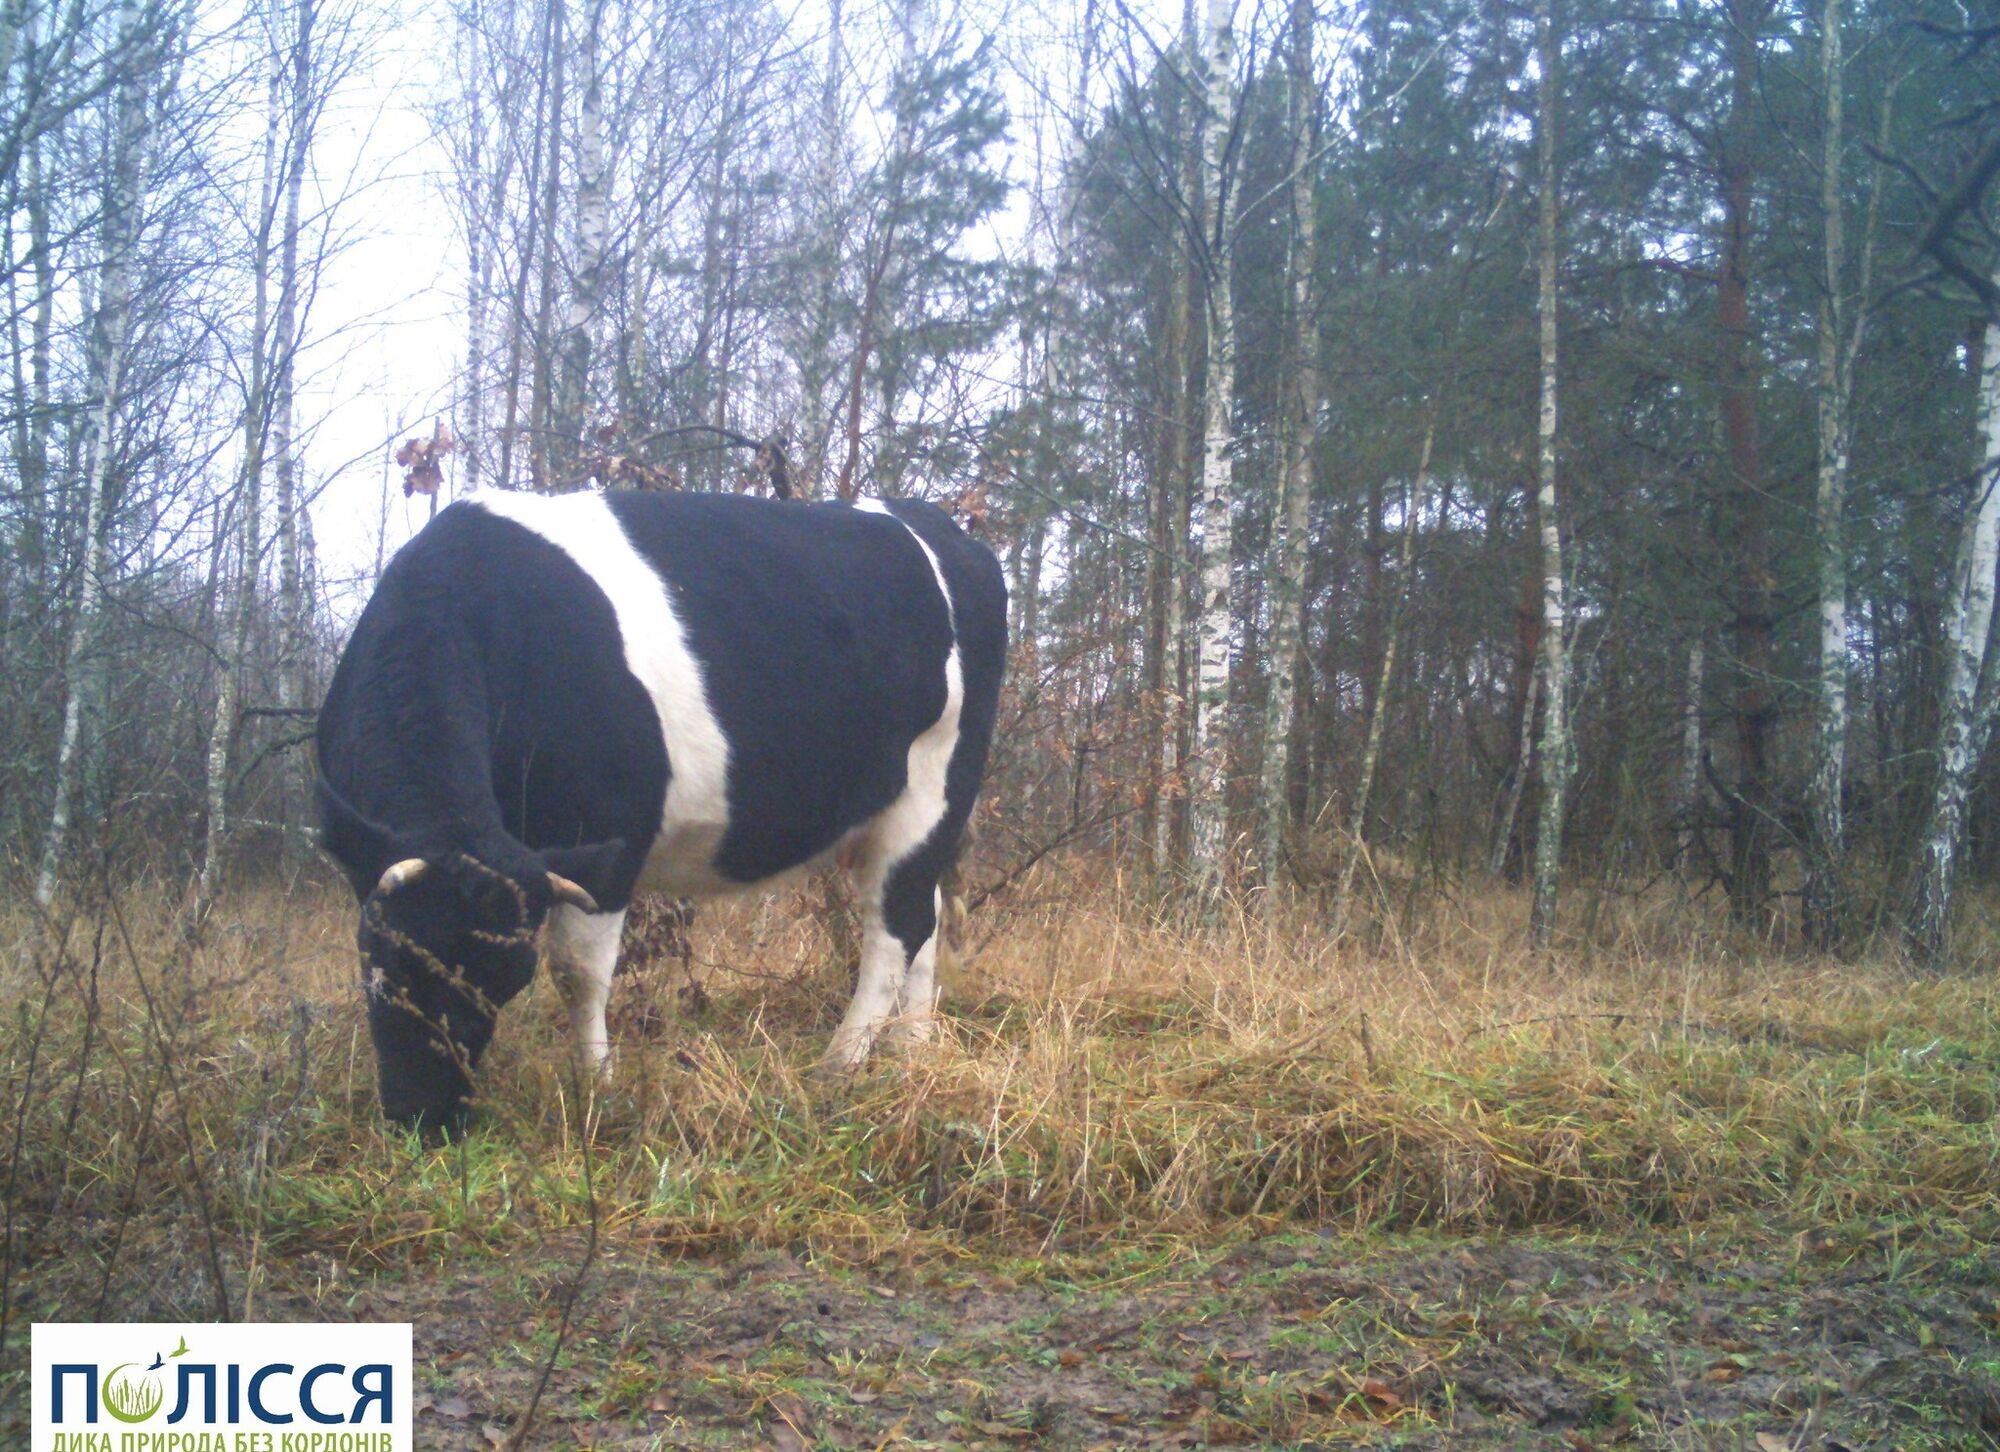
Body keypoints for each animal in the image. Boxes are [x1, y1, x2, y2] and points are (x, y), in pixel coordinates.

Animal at [318, 490, 1008, 1136]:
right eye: (384, 961)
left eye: (507, 982)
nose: (425, 1117)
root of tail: (938, 525)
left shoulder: (608, 833)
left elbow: (578, 972)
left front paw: (597, 1085)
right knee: (926, 917)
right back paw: (910, 1051)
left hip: (934, 787)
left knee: (897, 927)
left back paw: (839, 1065)